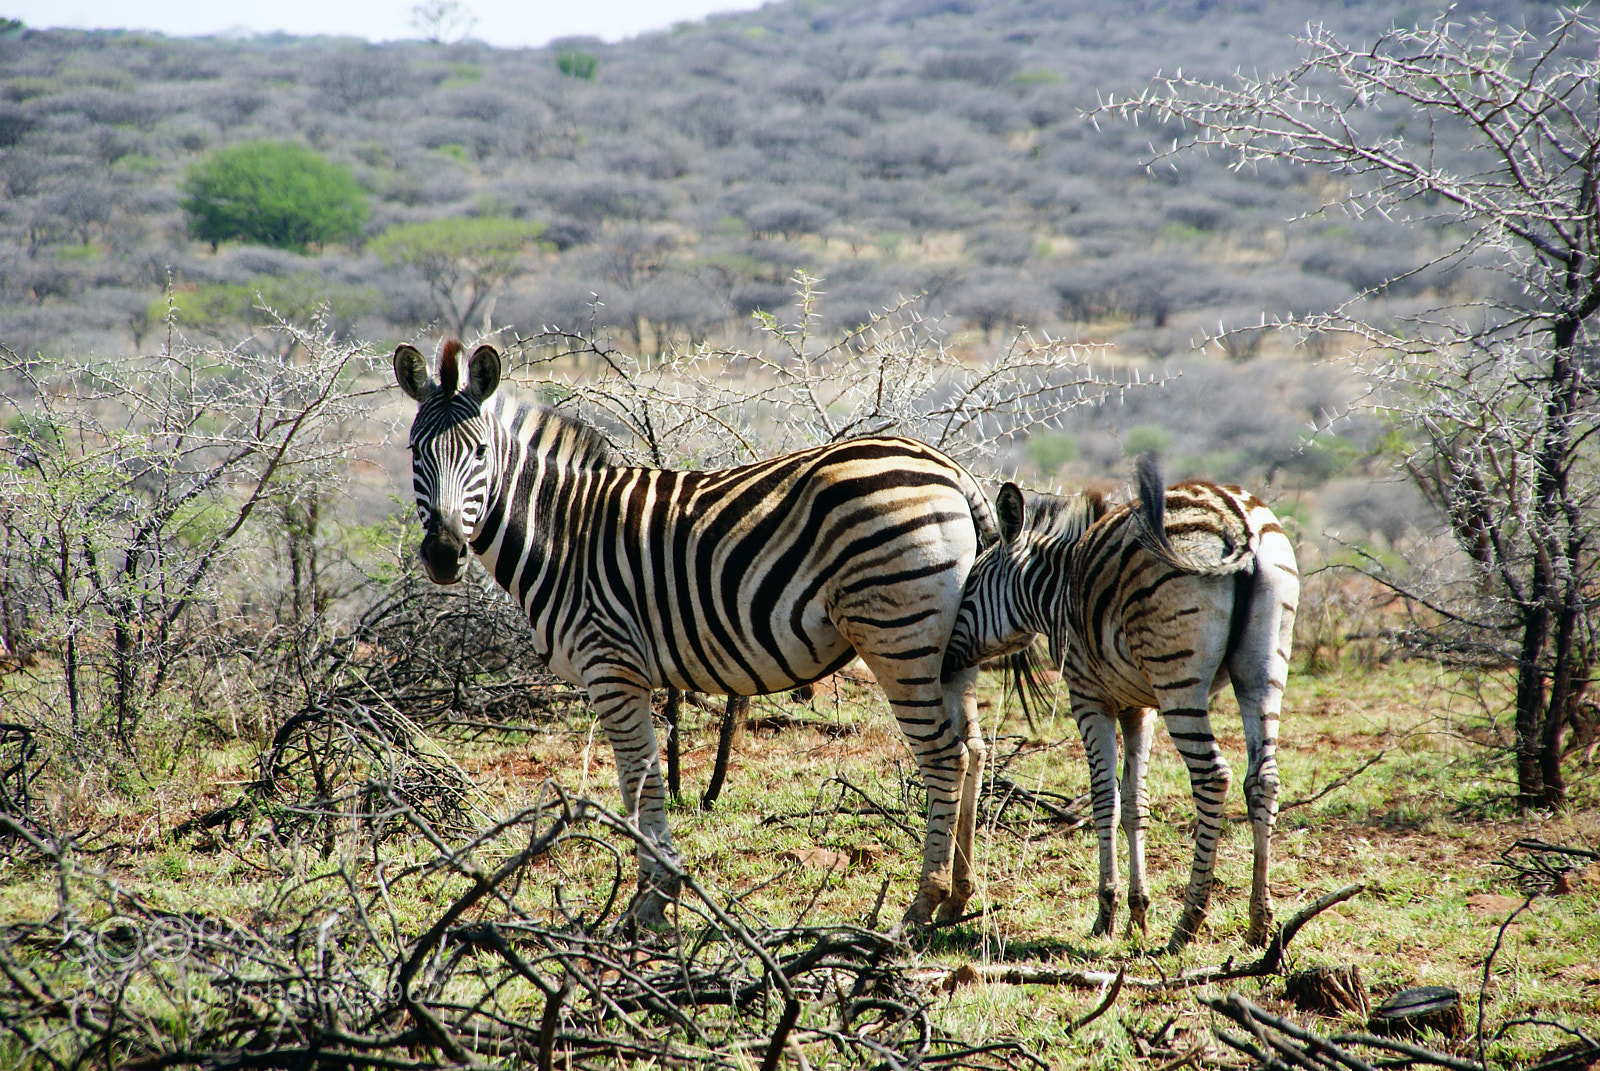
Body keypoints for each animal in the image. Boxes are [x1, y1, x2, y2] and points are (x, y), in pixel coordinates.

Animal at [394, 339, 997, 929]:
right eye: (415, 453)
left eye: (479, 454)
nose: (443, 555)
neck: (563, 533)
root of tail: (954, 471)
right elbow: (640, 778)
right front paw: (655, 894)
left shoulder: (611, 664)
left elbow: (640, 779)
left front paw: (652, 902)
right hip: (952, 645)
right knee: (972, 747)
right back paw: (959, 896)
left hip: (896, 634)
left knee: (944, 754)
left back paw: (922, 903)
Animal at [942, 457, 1299, 951]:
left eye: (971, 584)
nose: (942, 665)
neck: (1056, 590)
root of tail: (1237, 518)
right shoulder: (1137, 708)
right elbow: (1135, 804)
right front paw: (1137, 914)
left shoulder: (1088, 695)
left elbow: (1104, 800)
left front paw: (1106, 915)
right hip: (1263, 669)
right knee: (1262, 780)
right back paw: (1259, 923)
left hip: (1178, 679)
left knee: (1213, 776)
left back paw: (1189, 921)